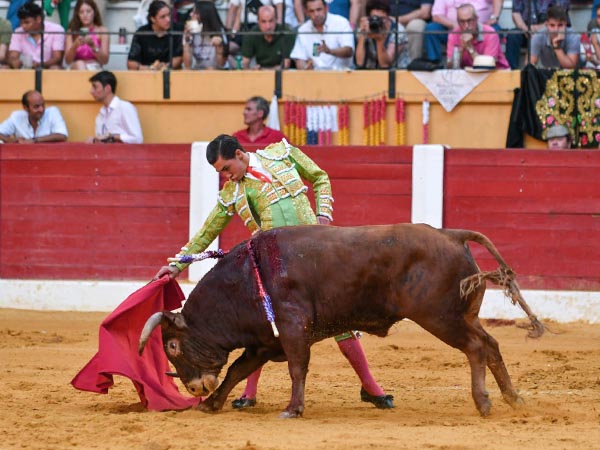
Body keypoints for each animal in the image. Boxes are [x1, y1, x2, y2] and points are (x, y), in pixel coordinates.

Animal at [139, 224, 544, 418]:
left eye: (172, 344)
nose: (193, 388)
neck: (245, 280)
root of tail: (451, 235)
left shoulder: (292, 329)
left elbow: (297, 368)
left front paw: (293, 409)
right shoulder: (264, 342)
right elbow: (238, 370)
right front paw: (212, 404)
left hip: (440, 318)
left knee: (475, 348)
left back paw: (484, 402)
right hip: (464, 315)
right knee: (491, 344)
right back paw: (514, 399)